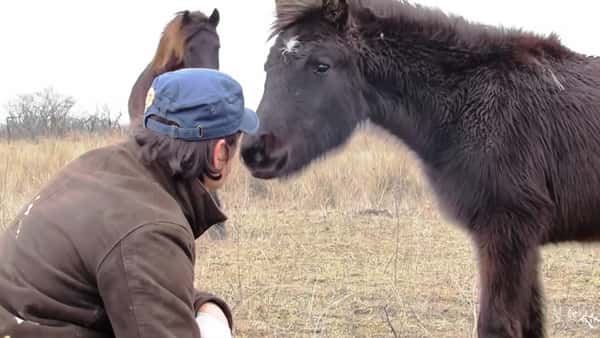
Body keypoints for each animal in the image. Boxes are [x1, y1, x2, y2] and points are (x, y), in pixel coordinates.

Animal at [241, 1, 600, 336]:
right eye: (268, 66)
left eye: (321, 66)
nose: (255, 151)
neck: (468, 104)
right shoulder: (521, 244)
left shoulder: (508, 232)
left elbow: (496, 325)